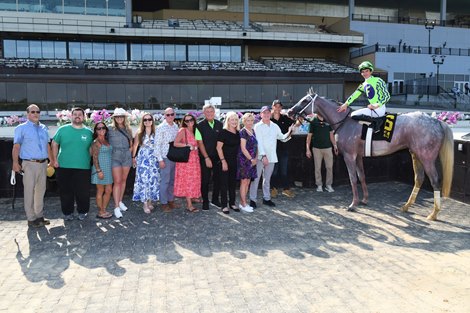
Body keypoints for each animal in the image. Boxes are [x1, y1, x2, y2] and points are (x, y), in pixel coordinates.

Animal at [288, 89, 454, 218]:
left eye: (304, 101)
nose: (289, 112)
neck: (345, 122)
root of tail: (437, 121)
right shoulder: (358, 156)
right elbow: (362, 176)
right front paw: (364, 200)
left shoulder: (349, 156)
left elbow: (353, 179)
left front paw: (353, 204)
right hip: (415, 155)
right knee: (419, 178)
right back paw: (407, 206)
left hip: (427, 158)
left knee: (435, 181)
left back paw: (433, 213)